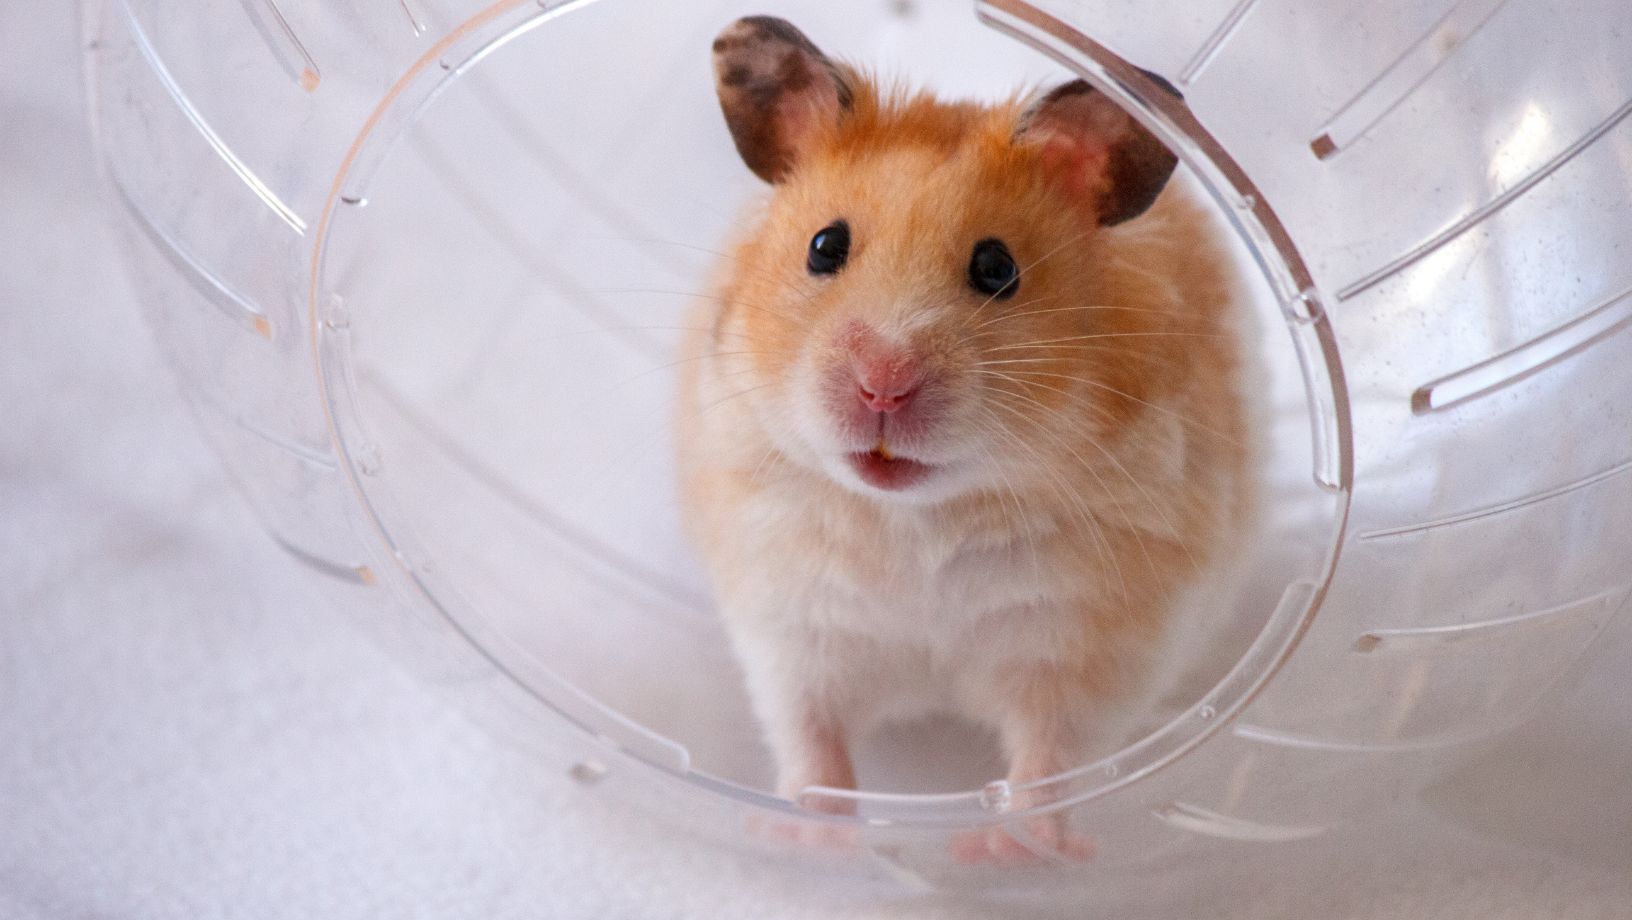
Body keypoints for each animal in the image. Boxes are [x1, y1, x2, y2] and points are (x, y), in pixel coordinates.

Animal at [677, 16, 1253, 860]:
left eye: (996, 267)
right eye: (824, 247)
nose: (882, 384)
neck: (919, 514)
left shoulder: (1086, 645)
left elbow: (1049, 755)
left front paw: (1010, 852)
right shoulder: (792, 621)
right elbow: (812, 738)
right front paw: (805, 837)